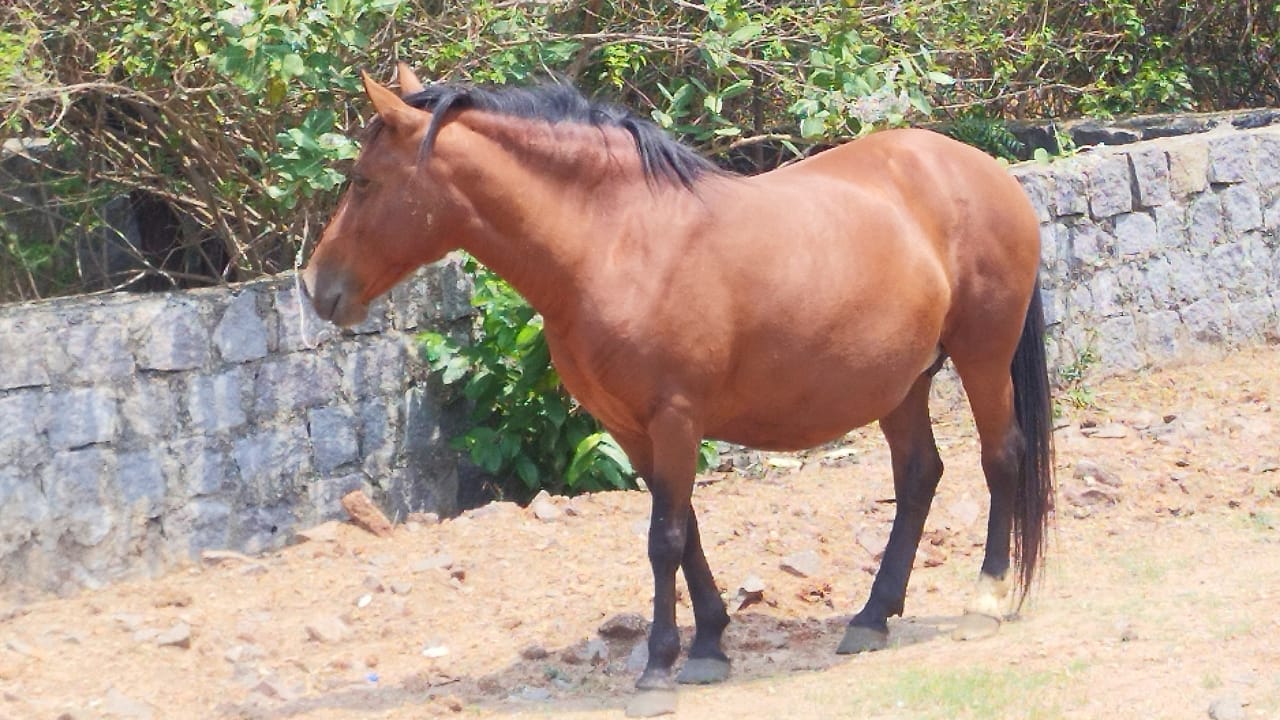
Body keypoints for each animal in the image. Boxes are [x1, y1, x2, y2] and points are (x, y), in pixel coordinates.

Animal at [302, 63, 1054, 716]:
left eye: (363, 181)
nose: (316, 287)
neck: (616, 242)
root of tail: (983, 170)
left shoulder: (675, 418)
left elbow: (663, 538)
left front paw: (660, 667)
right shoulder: (634, 428)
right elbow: (684, 530)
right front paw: (710, 645)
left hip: (981, 357)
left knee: (1000, 459)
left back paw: (985, 599)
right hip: (901, 383)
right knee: (919, 475)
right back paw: (872, 617)